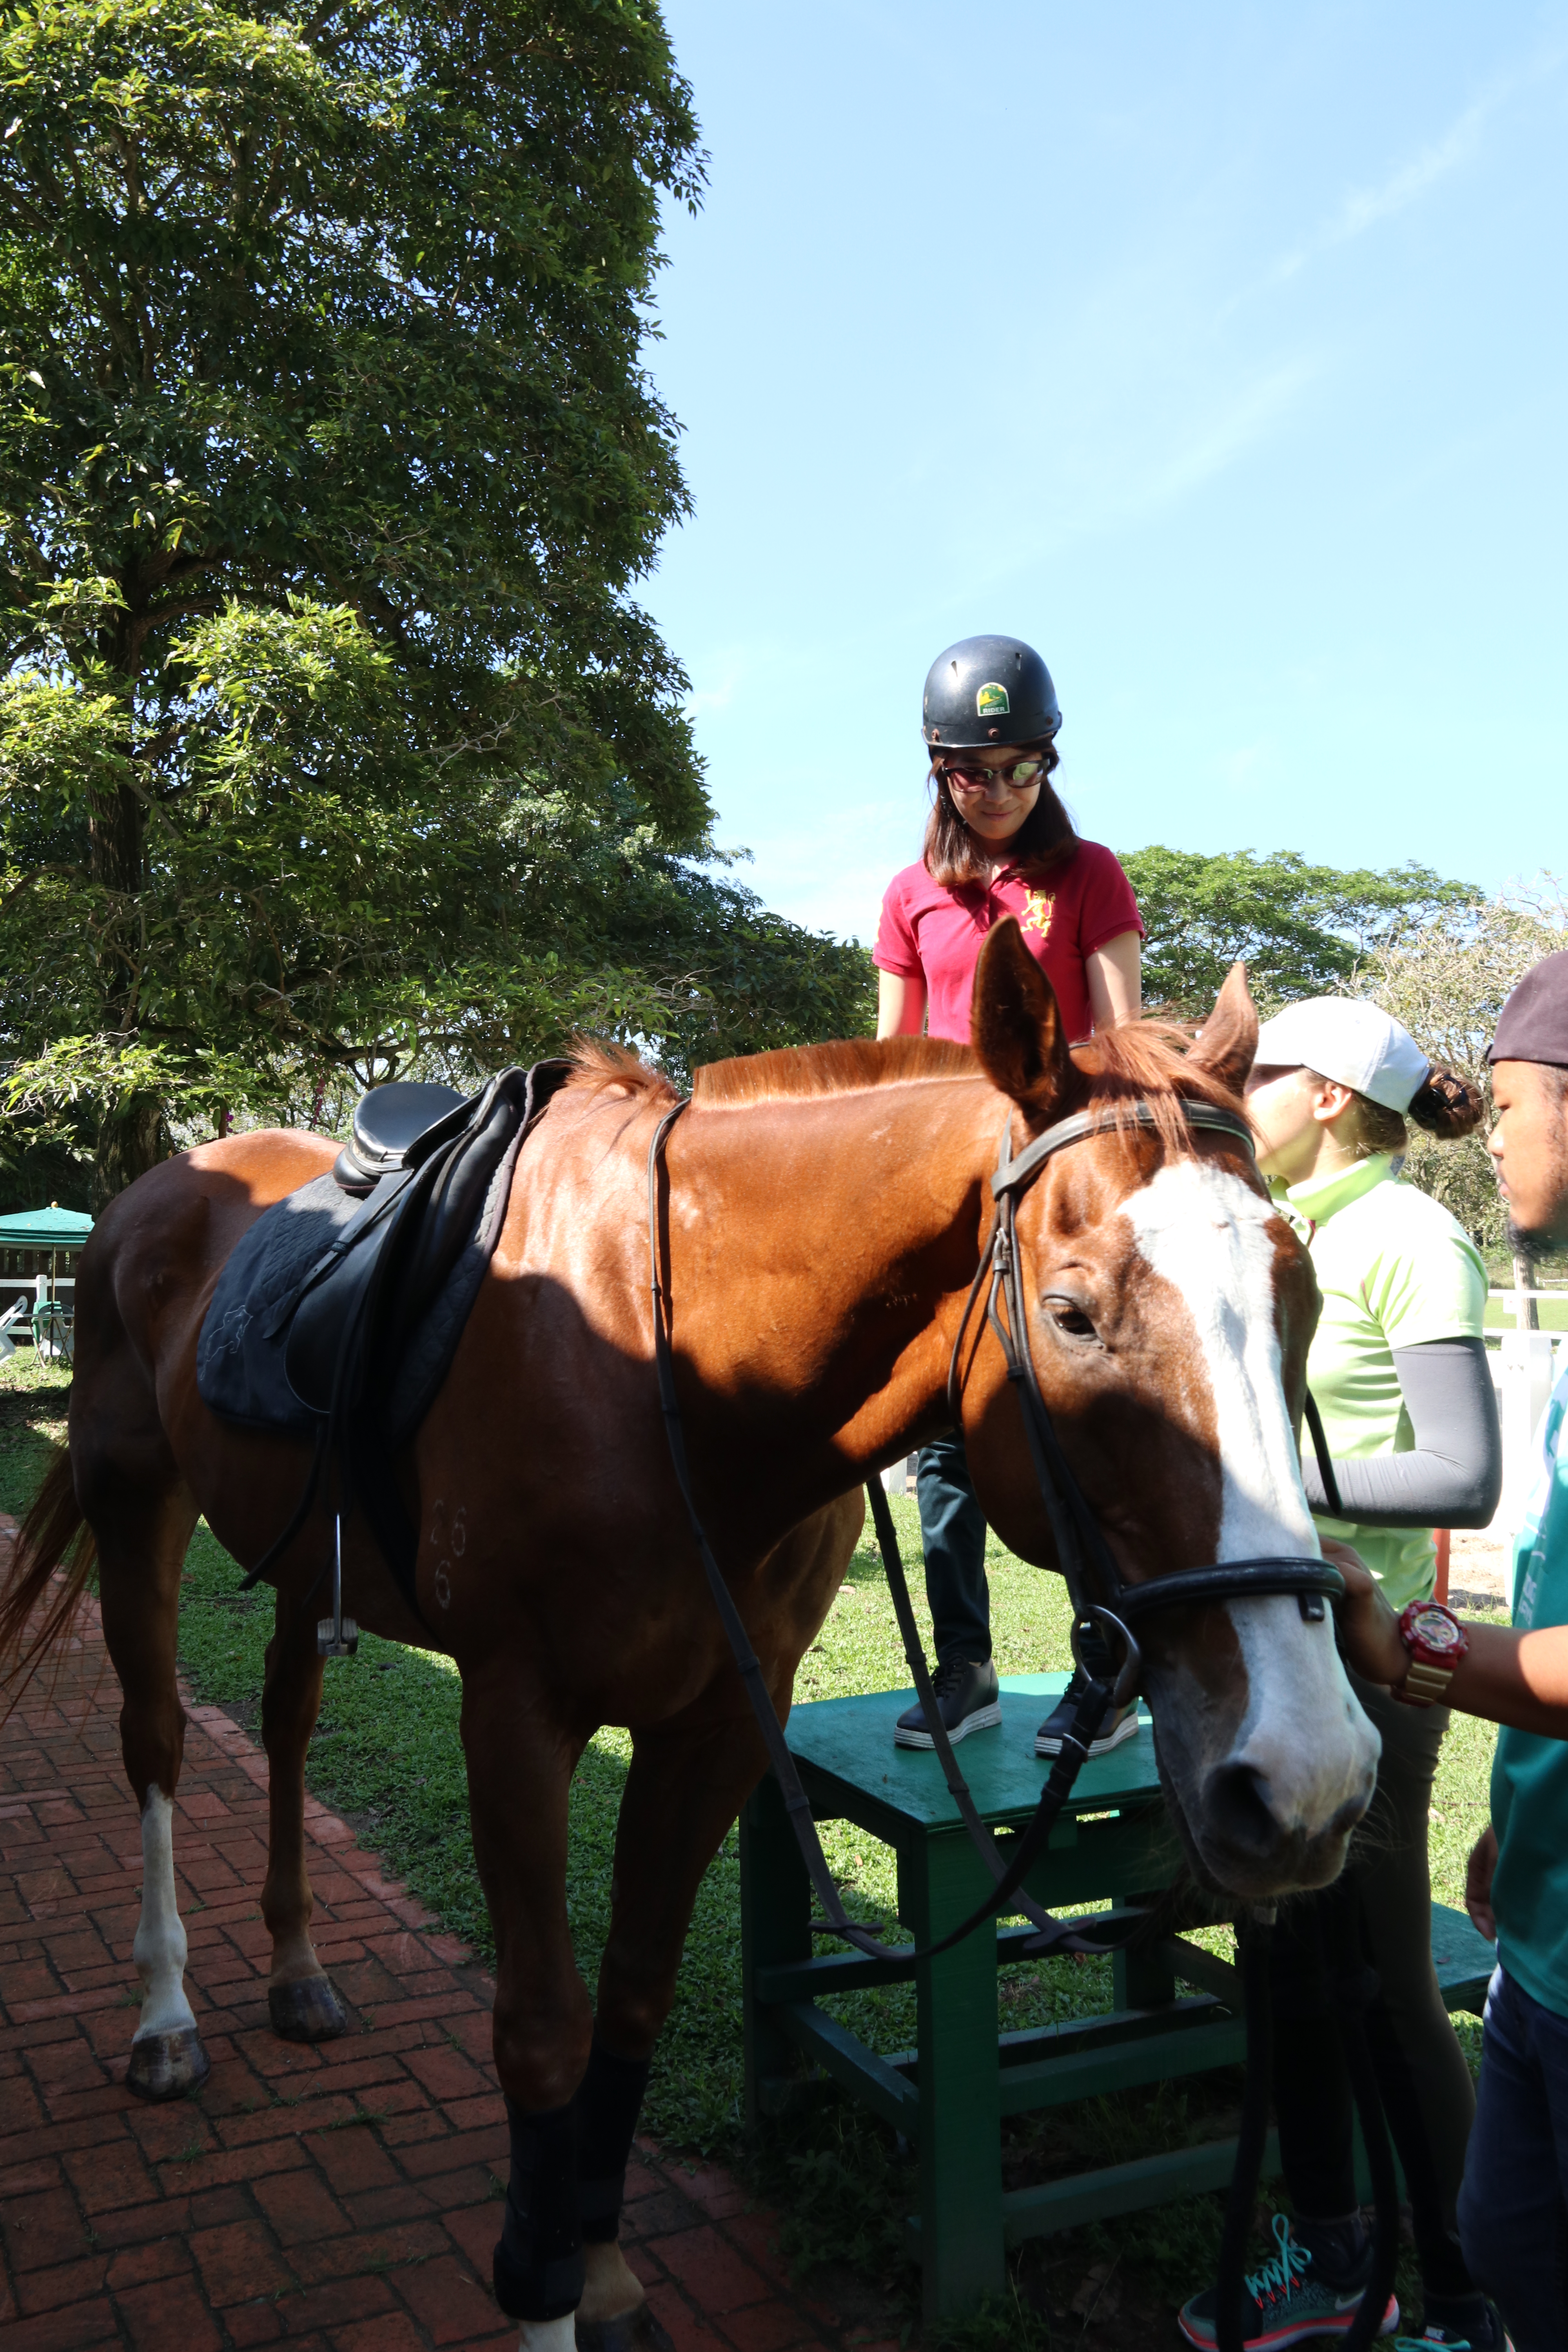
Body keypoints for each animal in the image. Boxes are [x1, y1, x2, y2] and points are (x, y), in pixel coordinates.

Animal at [0, 921, 1380, 2352]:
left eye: (1304, 1302)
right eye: (1071, 1315)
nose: (1309, 1777)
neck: (679, 1359)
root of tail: (159, 1187)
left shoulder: (720, 1722)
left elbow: (637, 1991)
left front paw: (598, 2260)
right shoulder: (515, 1717)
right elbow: (541, 2028)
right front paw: (541, 2287)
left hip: (294, 1552)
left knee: (282, 1726)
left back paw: (295, 1966)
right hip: (136, 1501)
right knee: (158, 1741)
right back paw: (165, 2012)